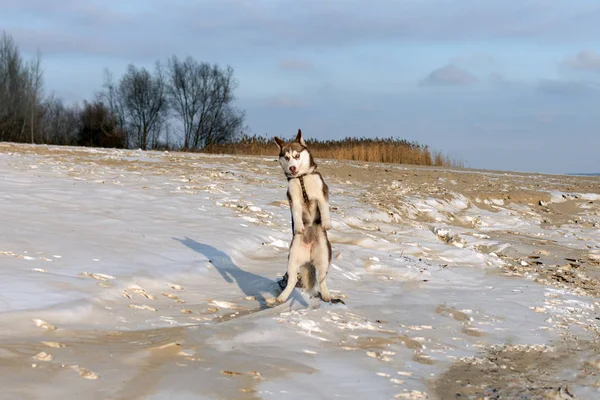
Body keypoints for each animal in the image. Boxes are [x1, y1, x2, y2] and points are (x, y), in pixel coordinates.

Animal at [274, 130, 336, 304]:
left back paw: (327, 295)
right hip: (293, 257)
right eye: (286, 157)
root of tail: (309, 256)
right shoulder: (293, 199)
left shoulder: (321, 194)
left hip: (324, 256)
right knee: (292, 280)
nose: (292, 167)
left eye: (296, 155)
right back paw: (282, 297)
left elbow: (324, 207)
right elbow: (296, 212)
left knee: (322, 279)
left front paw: (327, 223)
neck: (301, 178)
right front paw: (299, 226)